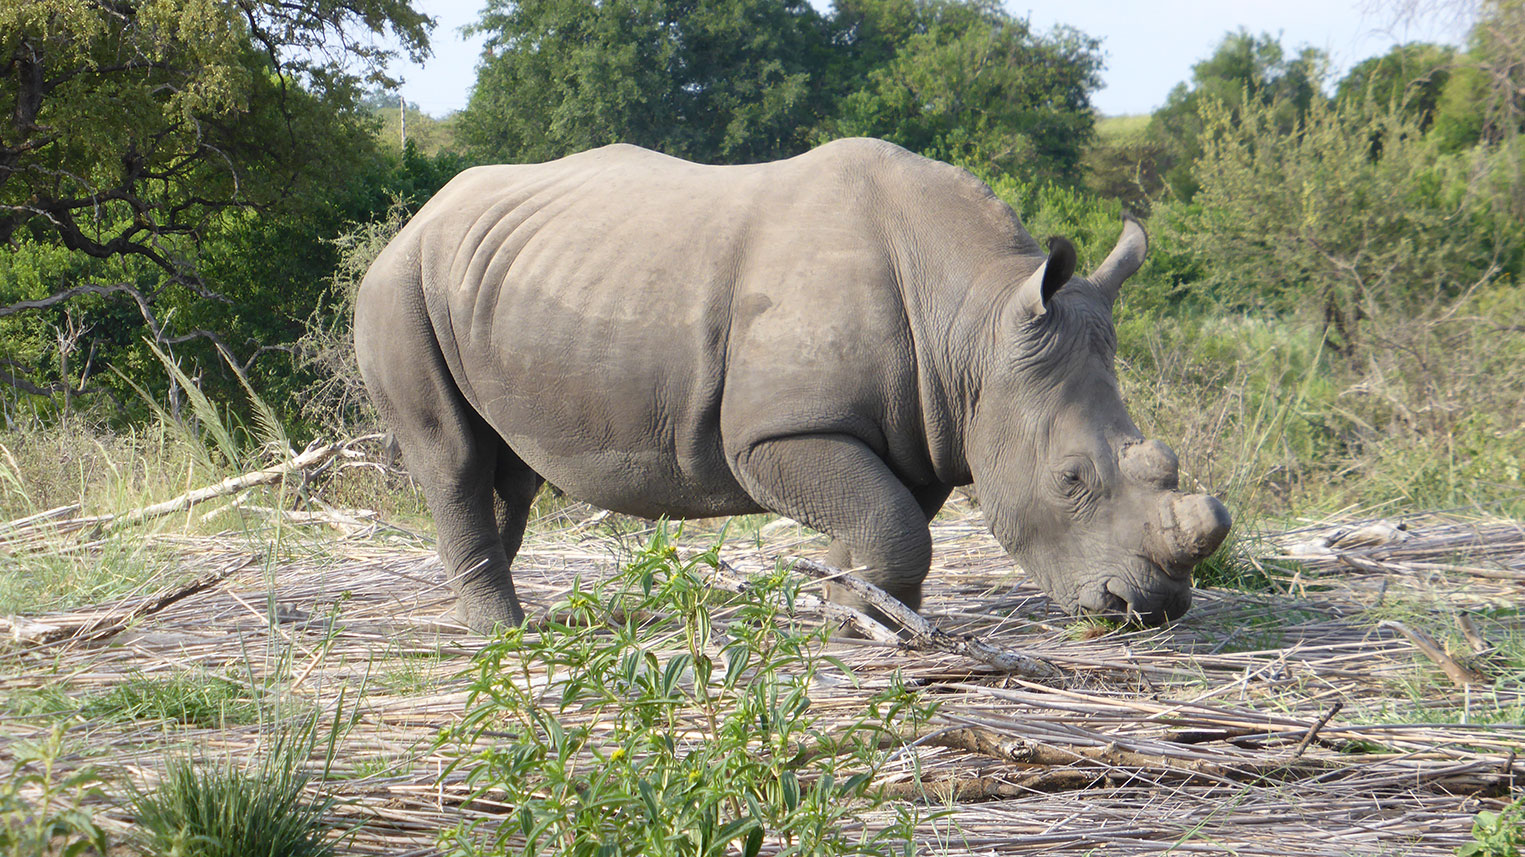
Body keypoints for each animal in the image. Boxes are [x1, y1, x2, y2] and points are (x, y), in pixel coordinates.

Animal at [353, 134, 1226, 628]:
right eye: (1071, 478)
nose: (1148, 609)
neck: (973, 328)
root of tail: (419, 216)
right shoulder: (780, 429)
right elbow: (894, 523)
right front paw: (880, 626)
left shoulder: (921, 418)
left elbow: (884, 519)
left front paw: (856, 616)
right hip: (397, 285)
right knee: (453, 458)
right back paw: (501, 634)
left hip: (492, 280)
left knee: (508, 467)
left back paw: (496, 614)